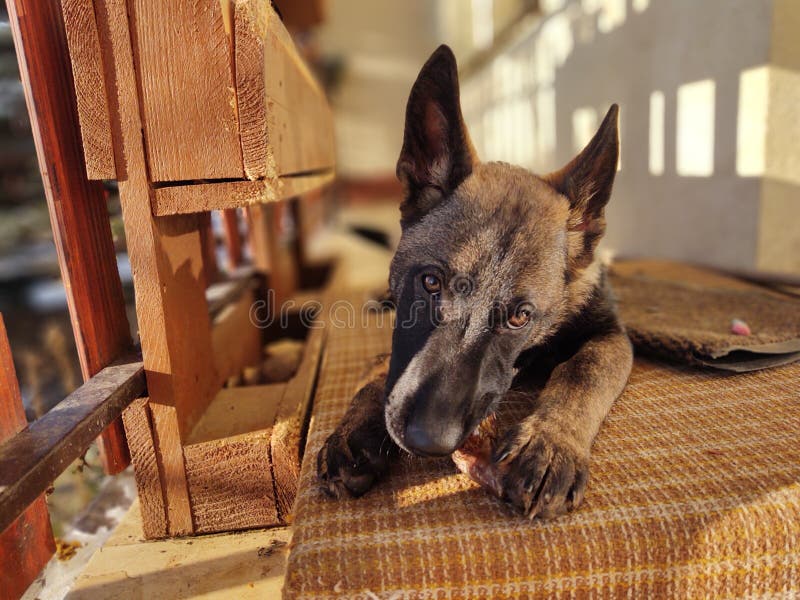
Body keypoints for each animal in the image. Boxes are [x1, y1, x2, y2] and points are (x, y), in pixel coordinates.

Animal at [316, 45, 636, 520]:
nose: (428, 441)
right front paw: (353, 432)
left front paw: (550, 442)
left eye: (521, 317)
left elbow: (584, 371)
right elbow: (377, 378)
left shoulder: (611, 337)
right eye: (430, 282)